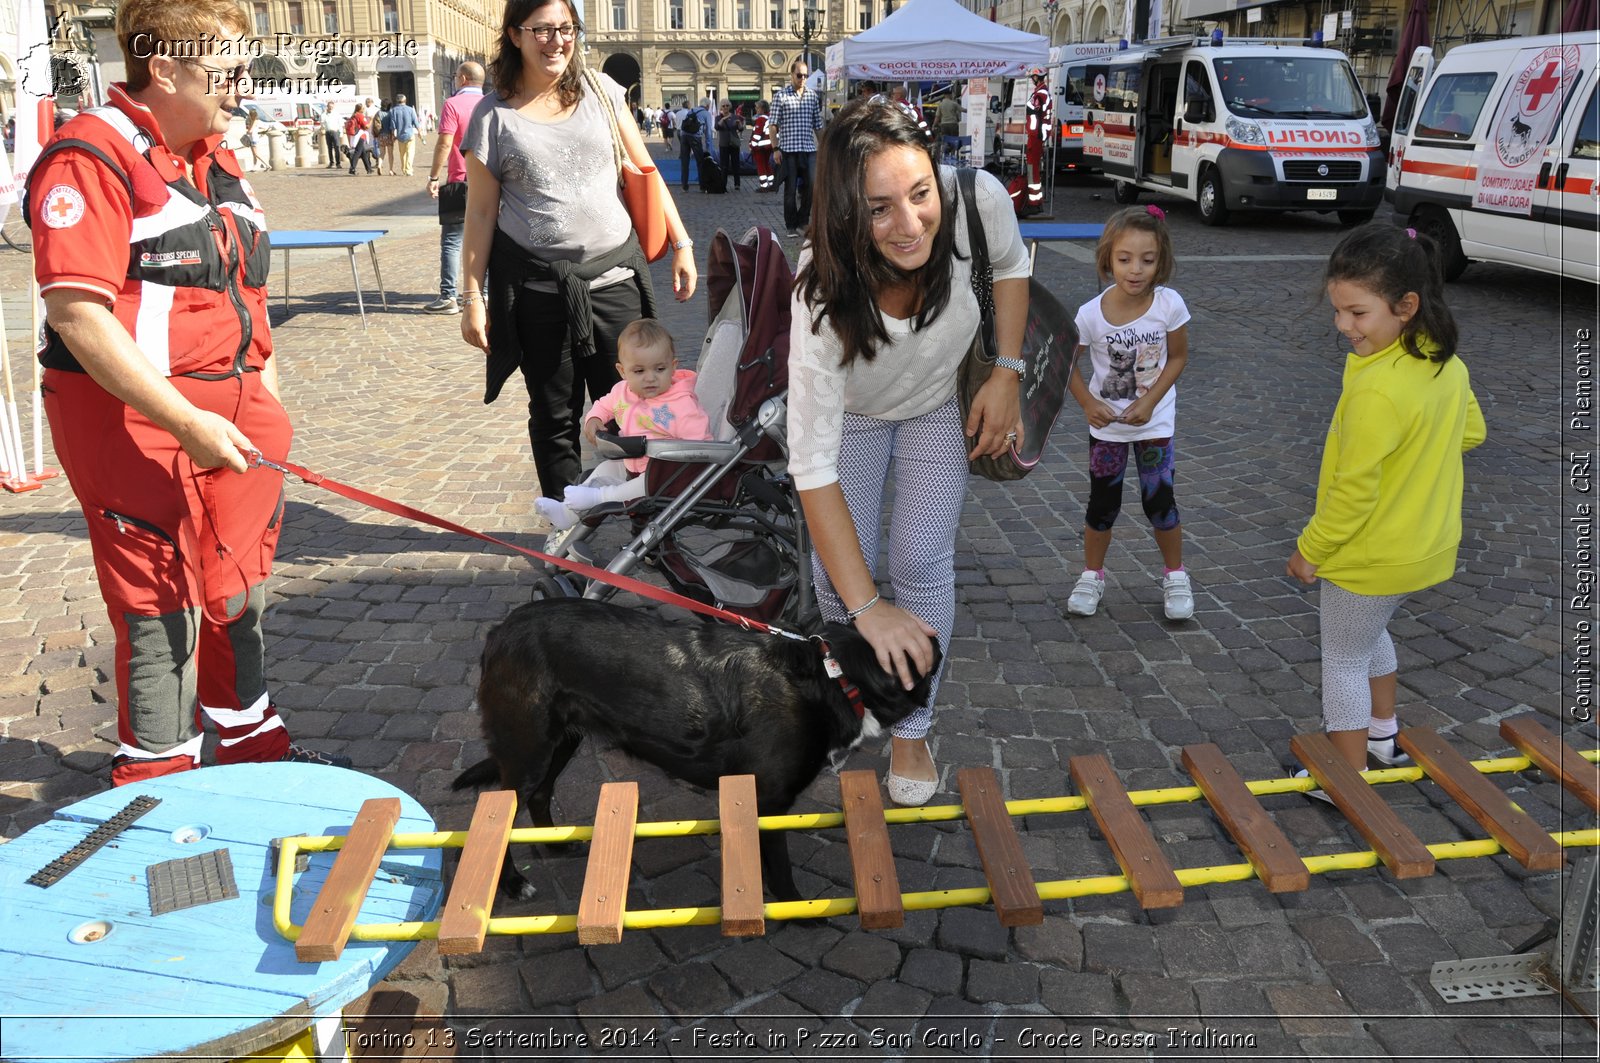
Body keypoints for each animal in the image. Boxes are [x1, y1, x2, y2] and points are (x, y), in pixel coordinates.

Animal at [451, 592, 934, 902]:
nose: (936, 638)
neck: (830, 674)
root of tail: (499, 631)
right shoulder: (769, 801)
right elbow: (779, 869)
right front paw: (799, 910)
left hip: (559, 744)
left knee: (540, 795)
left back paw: (554, 846)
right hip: (529, 749)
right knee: (497, 814)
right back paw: (512, 884)